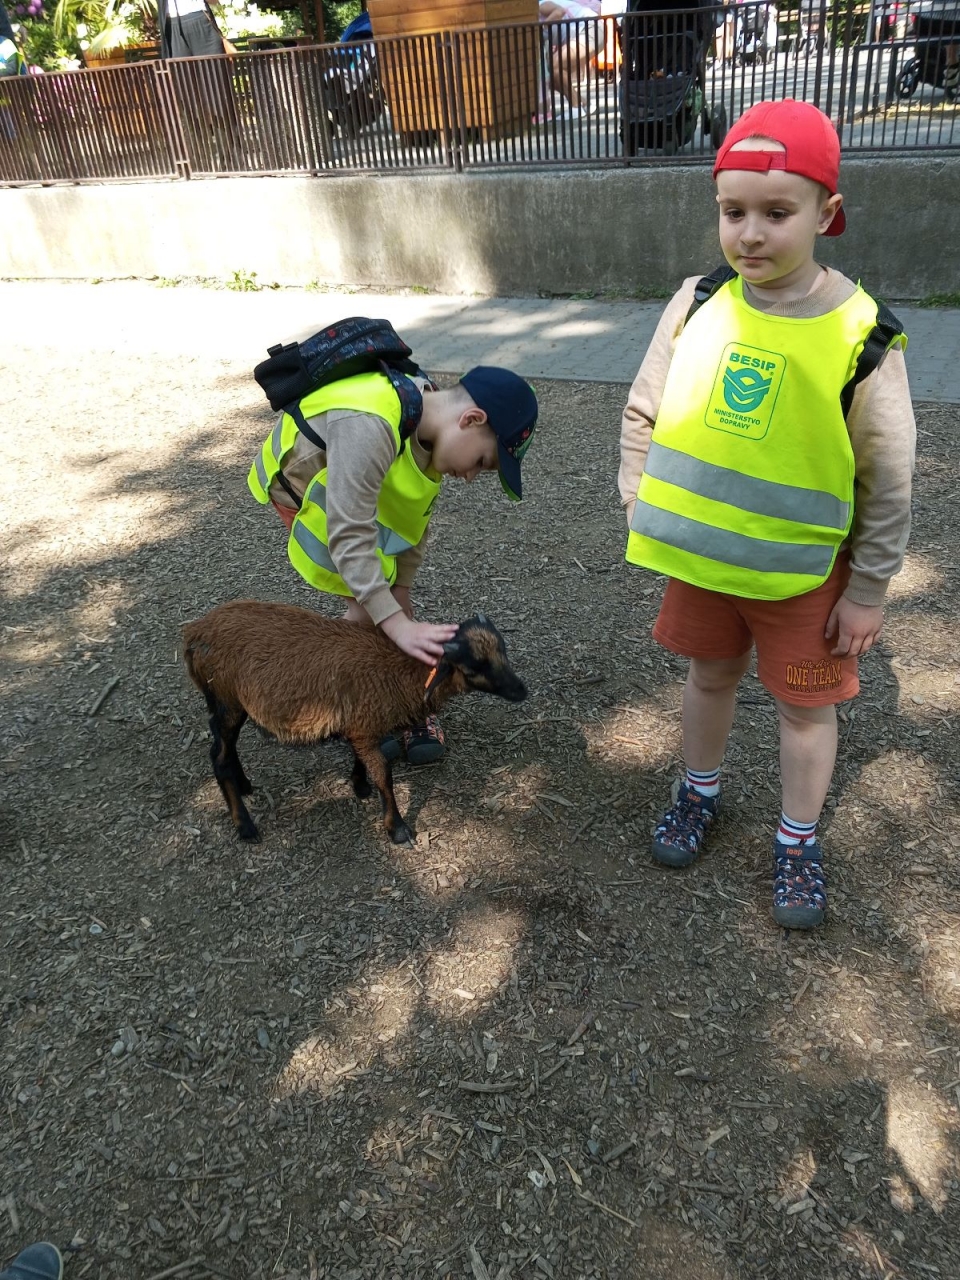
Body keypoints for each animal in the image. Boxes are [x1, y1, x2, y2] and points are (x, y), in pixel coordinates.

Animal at [180, 601, 527, 844]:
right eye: (473, 668)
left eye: (503, 652)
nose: (522, 691)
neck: (404, 672)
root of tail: (194, 632)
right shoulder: (364, 725)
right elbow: (384, 774)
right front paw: (397, 828)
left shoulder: (359, 726)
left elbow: (362, 760)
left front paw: (359, 785)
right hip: (227, 698)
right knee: (219, 758)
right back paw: (245, 825)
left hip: (228, 703)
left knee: (225, 748)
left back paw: (245, 786)